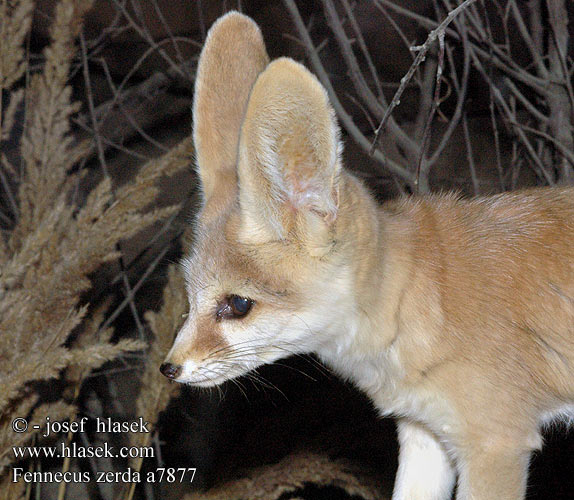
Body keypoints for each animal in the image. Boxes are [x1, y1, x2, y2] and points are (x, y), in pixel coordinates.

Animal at [160, 11, 574, 500]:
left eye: (238, 305)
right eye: (189, 299)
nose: (169, 369)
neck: (423, 300)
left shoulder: (497, 443)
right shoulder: (425, 435)